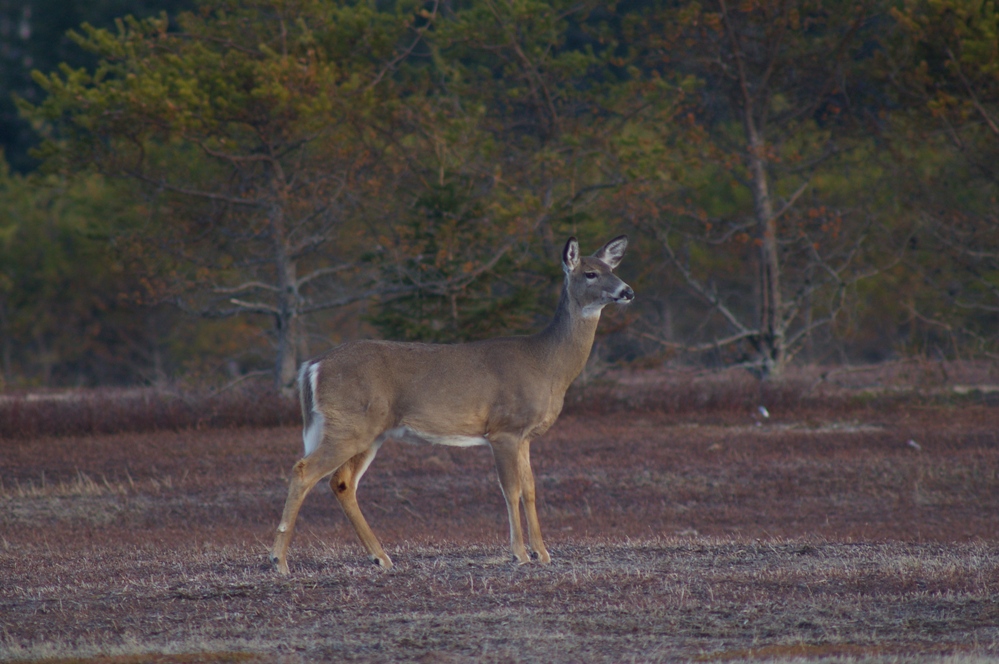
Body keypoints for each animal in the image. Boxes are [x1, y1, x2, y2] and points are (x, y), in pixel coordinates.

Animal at [270, 236, 636, 572]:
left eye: (612, 269)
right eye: (590, 273)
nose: (628, 291)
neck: (547, 364)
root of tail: (312, 365)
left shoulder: (525, 436)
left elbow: (531, 489)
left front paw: (543, 553)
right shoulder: (503, 430)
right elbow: (511, 489)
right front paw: (520, 553)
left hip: (369, 432)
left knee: (342, 482)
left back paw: (381, 557)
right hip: (350, 424)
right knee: (304, 470)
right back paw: (280, 561)